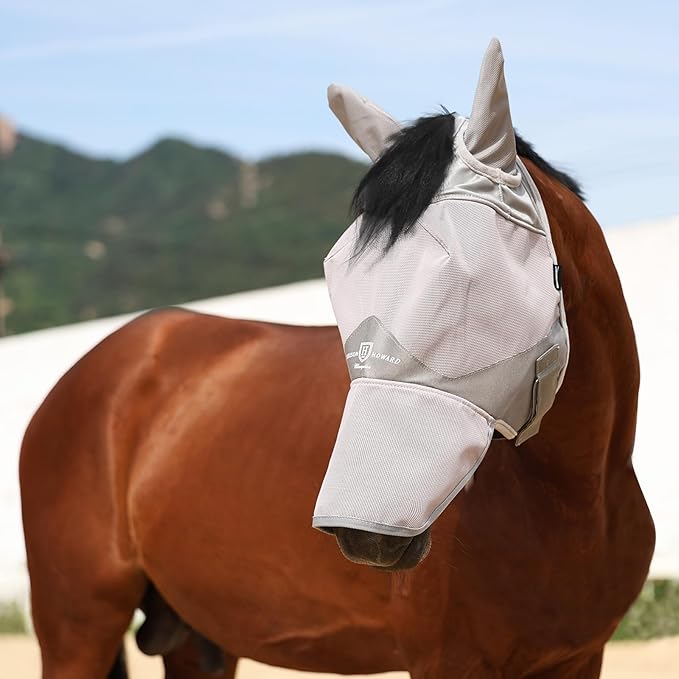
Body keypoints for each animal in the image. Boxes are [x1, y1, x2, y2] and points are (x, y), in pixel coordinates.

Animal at [20, 39, 654, 679]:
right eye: (341, 278)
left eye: (470, 280)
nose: (364, 531)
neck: (572, 499)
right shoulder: (448, 660)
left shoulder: (580, 657)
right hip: (78, 629)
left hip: (195, 638)